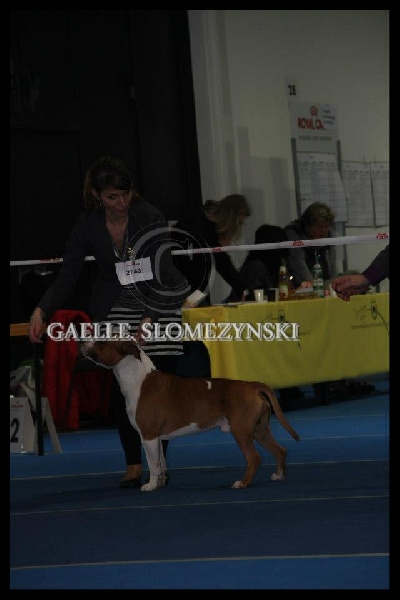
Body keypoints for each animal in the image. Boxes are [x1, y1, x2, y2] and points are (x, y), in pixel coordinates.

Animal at [81, 338, 300, 492]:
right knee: (279, 449)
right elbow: (161, 462)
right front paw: (159, 484)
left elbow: (153, 464)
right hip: (259, 429)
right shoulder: (157, 438)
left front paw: (150, 486)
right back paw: (279, 476)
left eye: (102, 342)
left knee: (254, 458)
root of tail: (252, 385)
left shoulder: (148, 435)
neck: (137, 379)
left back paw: (242, 483)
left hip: (241, 430)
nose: (82, 341)